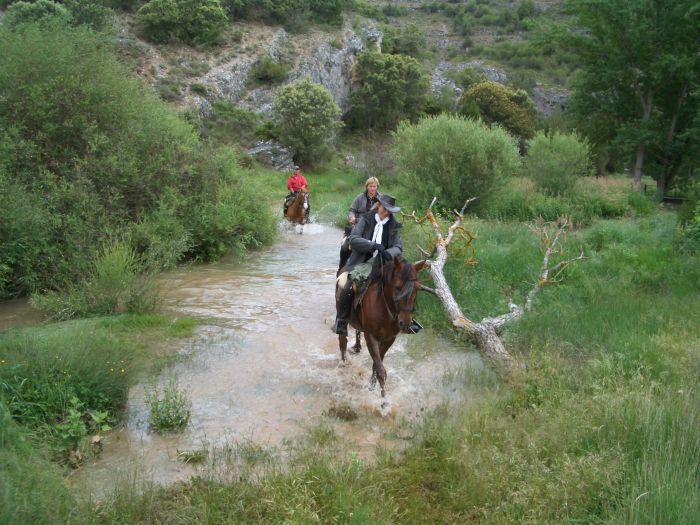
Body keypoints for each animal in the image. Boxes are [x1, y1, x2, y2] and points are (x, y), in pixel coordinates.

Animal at [334, 256, 424, 396]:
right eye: (398, 287)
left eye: (417, 288)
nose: (405, 323)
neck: (383, 307)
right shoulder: (371, 337)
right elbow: (380, 369)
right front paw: (383, 398)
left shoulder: (389, 339)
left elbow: (377, 364)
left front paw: (372, 386)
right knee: (342, 341)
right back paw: (344, 364)